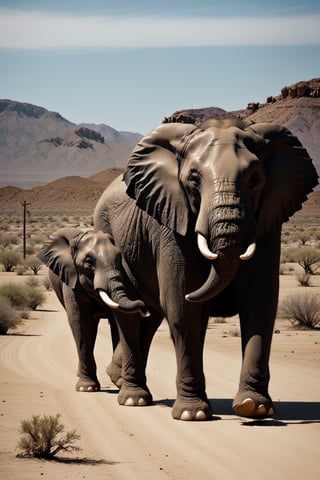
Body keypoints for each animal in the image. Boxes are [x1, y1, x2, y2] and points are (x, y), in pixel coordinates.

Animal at [38, 227, 148, 392]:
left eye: (120, 259)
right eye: (89, 261)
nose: (144, 308)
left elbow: (117, 322)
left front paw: (119, 382)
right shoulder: (71, 277)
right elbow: (79, 320)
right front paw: (87, 388)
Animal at [92, 118, 318, 422]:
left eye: (255, 179)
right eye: (193, 180)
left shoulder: (268, 219)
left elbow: (260, 301)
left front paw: (253, 407)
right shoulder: (171, 219)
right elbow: (181, 304)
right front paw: (193, 414)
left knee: (150, 316)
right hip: (107, 235)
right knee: (131, 316)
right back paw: (133, 399)